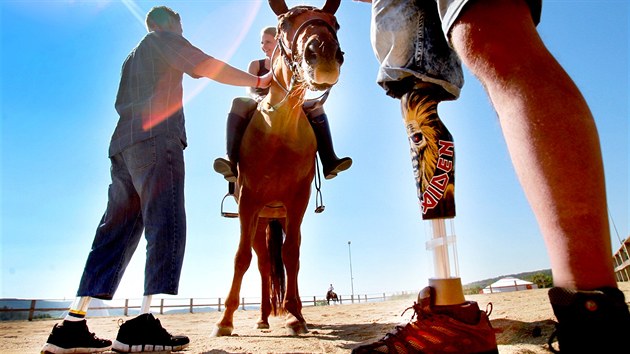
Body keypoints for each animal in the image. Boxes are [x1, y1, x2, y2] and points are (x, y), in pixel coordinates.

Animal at [212, 0, 344, 338]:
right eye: (284, 23)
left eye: (334, 23)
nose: (323, 52)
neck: (279, 129)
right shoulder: (248, 204)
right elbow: (242, 258)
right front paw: (225, 321)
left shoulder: (297, 203)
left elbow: (291, 255)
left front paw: (295, 316)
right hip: (260, 220)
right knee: (260, 264)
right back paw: (262, 317)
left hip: (279, 216)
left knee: (282, 259)